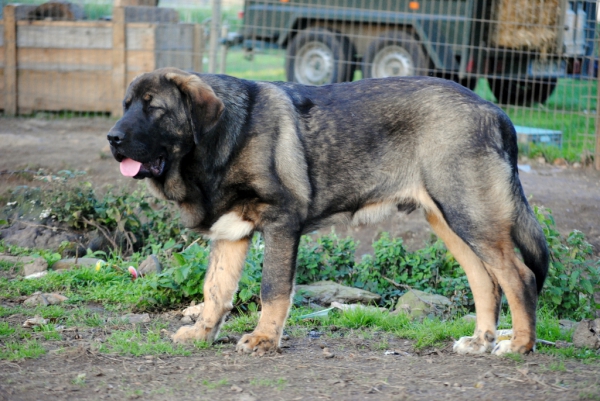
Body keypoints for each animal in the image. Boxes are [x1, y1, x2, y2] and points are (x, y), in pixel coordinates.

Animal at [106, 67, 548, 354]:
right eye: (126, 105)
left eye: (154, 108)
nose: (112, 138)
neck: (221, 140)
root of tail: (494, 111)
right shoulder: (231, 233)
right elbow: (215, 290)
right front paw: (202, 334)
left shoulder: (281, 222)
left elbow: (273, 289)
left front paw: (265, 339)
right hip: (450, 219)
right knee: (485, 281)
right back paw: (481, 341)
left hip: (471, 215)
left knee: (519, 276)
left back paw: (519, 345)